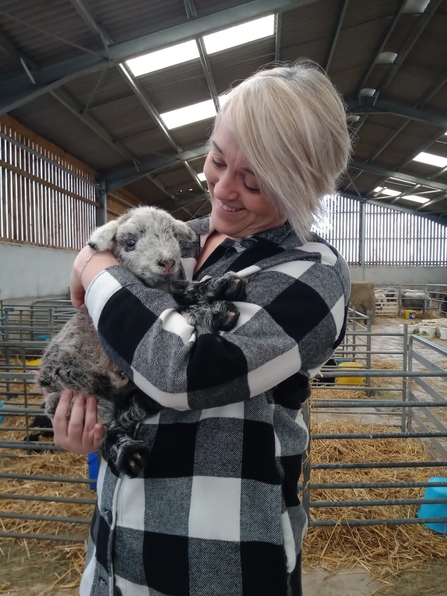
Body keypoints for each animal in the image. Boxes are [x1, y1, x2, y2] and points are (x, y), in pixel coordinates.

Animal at [37, 207, 248, 478]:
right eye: (130, 243)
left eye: (171, 235)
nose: (167, 262)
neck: (157, 287)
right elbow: (185, 313)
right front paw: (218, 311)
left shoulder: (173, 287)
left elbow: (184, 288)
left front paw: (223, 284)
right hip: (74, 391)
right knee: (107, 427)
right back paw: (129, 454)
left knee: (122, 415)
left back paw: (143, 403)